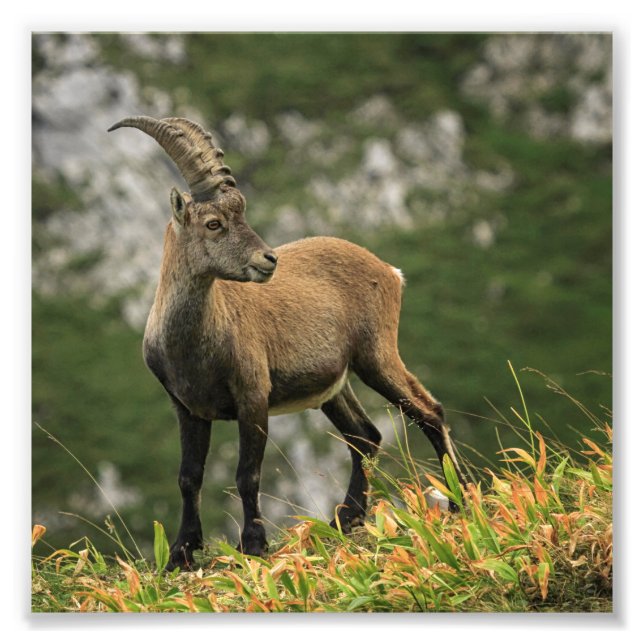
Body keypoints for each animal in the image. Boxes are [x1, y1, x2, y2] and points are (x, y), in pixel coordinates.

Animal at [108, 116, 466, 571]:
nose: (269, 259)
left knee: (428, 412)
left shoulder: (252, 395)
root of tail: (388, 270)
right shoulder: (187, 407)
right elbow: (189, 477)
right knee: (365, 435)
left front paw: (253, 545)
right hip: (334, 386)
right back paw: (345, 519)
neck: (193, 344)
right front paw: (181, 553)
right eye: (213, 223)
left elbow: (247, 474)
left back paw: (459, 502)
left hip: (376, 355)